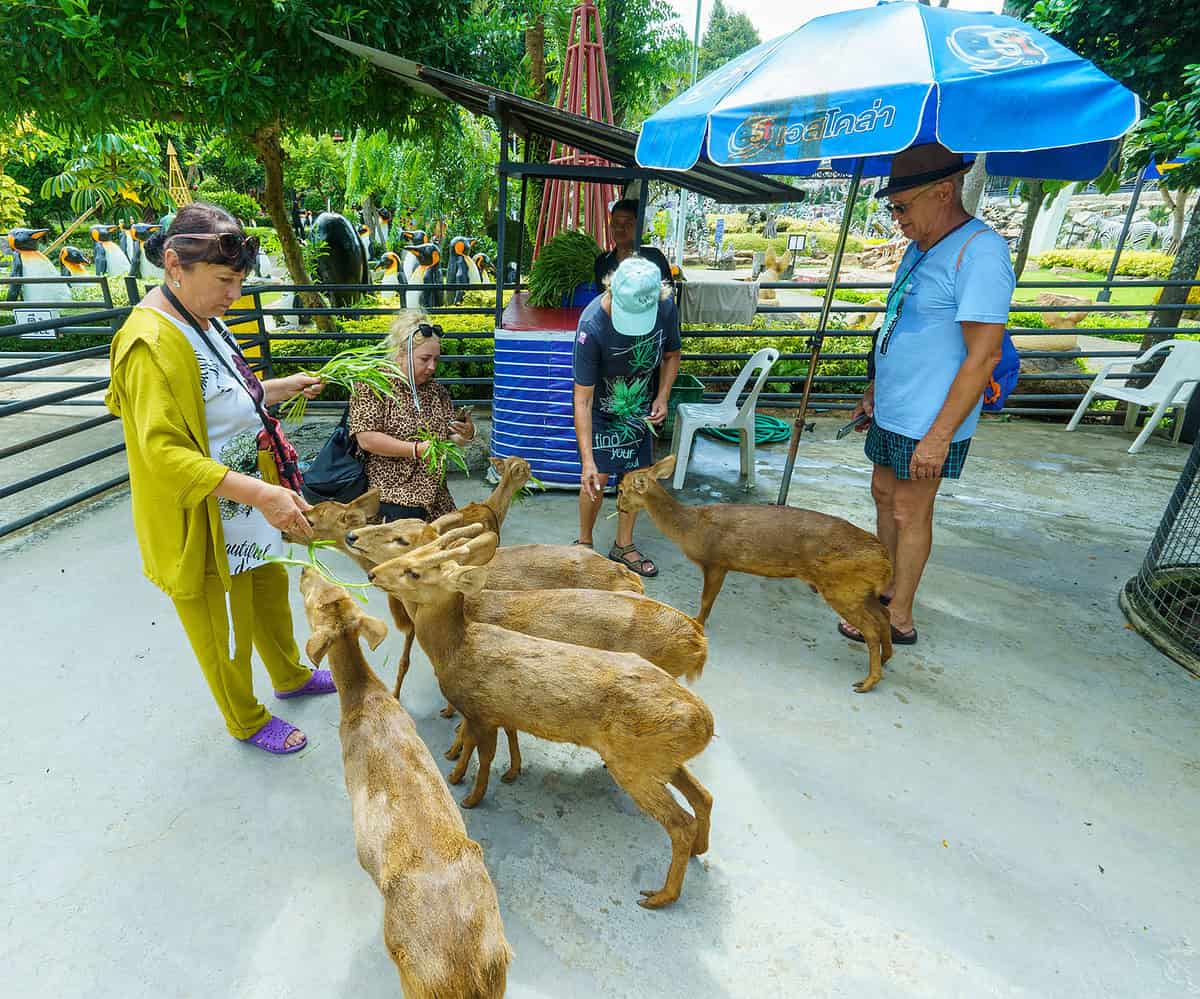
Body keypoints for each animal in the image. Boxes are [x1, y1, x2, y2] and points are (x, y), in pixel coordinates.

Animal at [298, 569, 511, 999]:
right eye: (331, 588)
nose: (303, 571)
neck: (363, 702)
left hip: (414, 980)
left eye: (313, 602)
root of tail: (470, 975)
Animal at [369, 525, 715, 907]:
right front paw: (491, 771)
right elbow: (494, 740)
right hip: (659, 759)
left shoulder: (481, 709)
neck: (457, 648)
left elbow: (484, 753)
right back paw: (699, 850)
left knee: (680, 822)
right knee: (703, 796)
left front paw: (470, 794)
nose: (373, 574)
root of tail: (705, 723)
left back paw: (660, 896)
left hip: (636, 763)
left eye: (414, 569)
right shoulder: (493, 712)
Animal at [619, 456, 892, 691]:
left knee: (871, 628)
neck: (691, 528)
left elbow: (706, 600)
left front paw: (697, 624)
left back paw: (868, 682)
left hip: (842, 588)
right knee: (884, 615)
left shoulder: (717, 561)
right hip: (859, 590)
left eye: (621, 489)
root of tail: (884, 557)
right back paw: (885, 658)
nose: (619, 506)